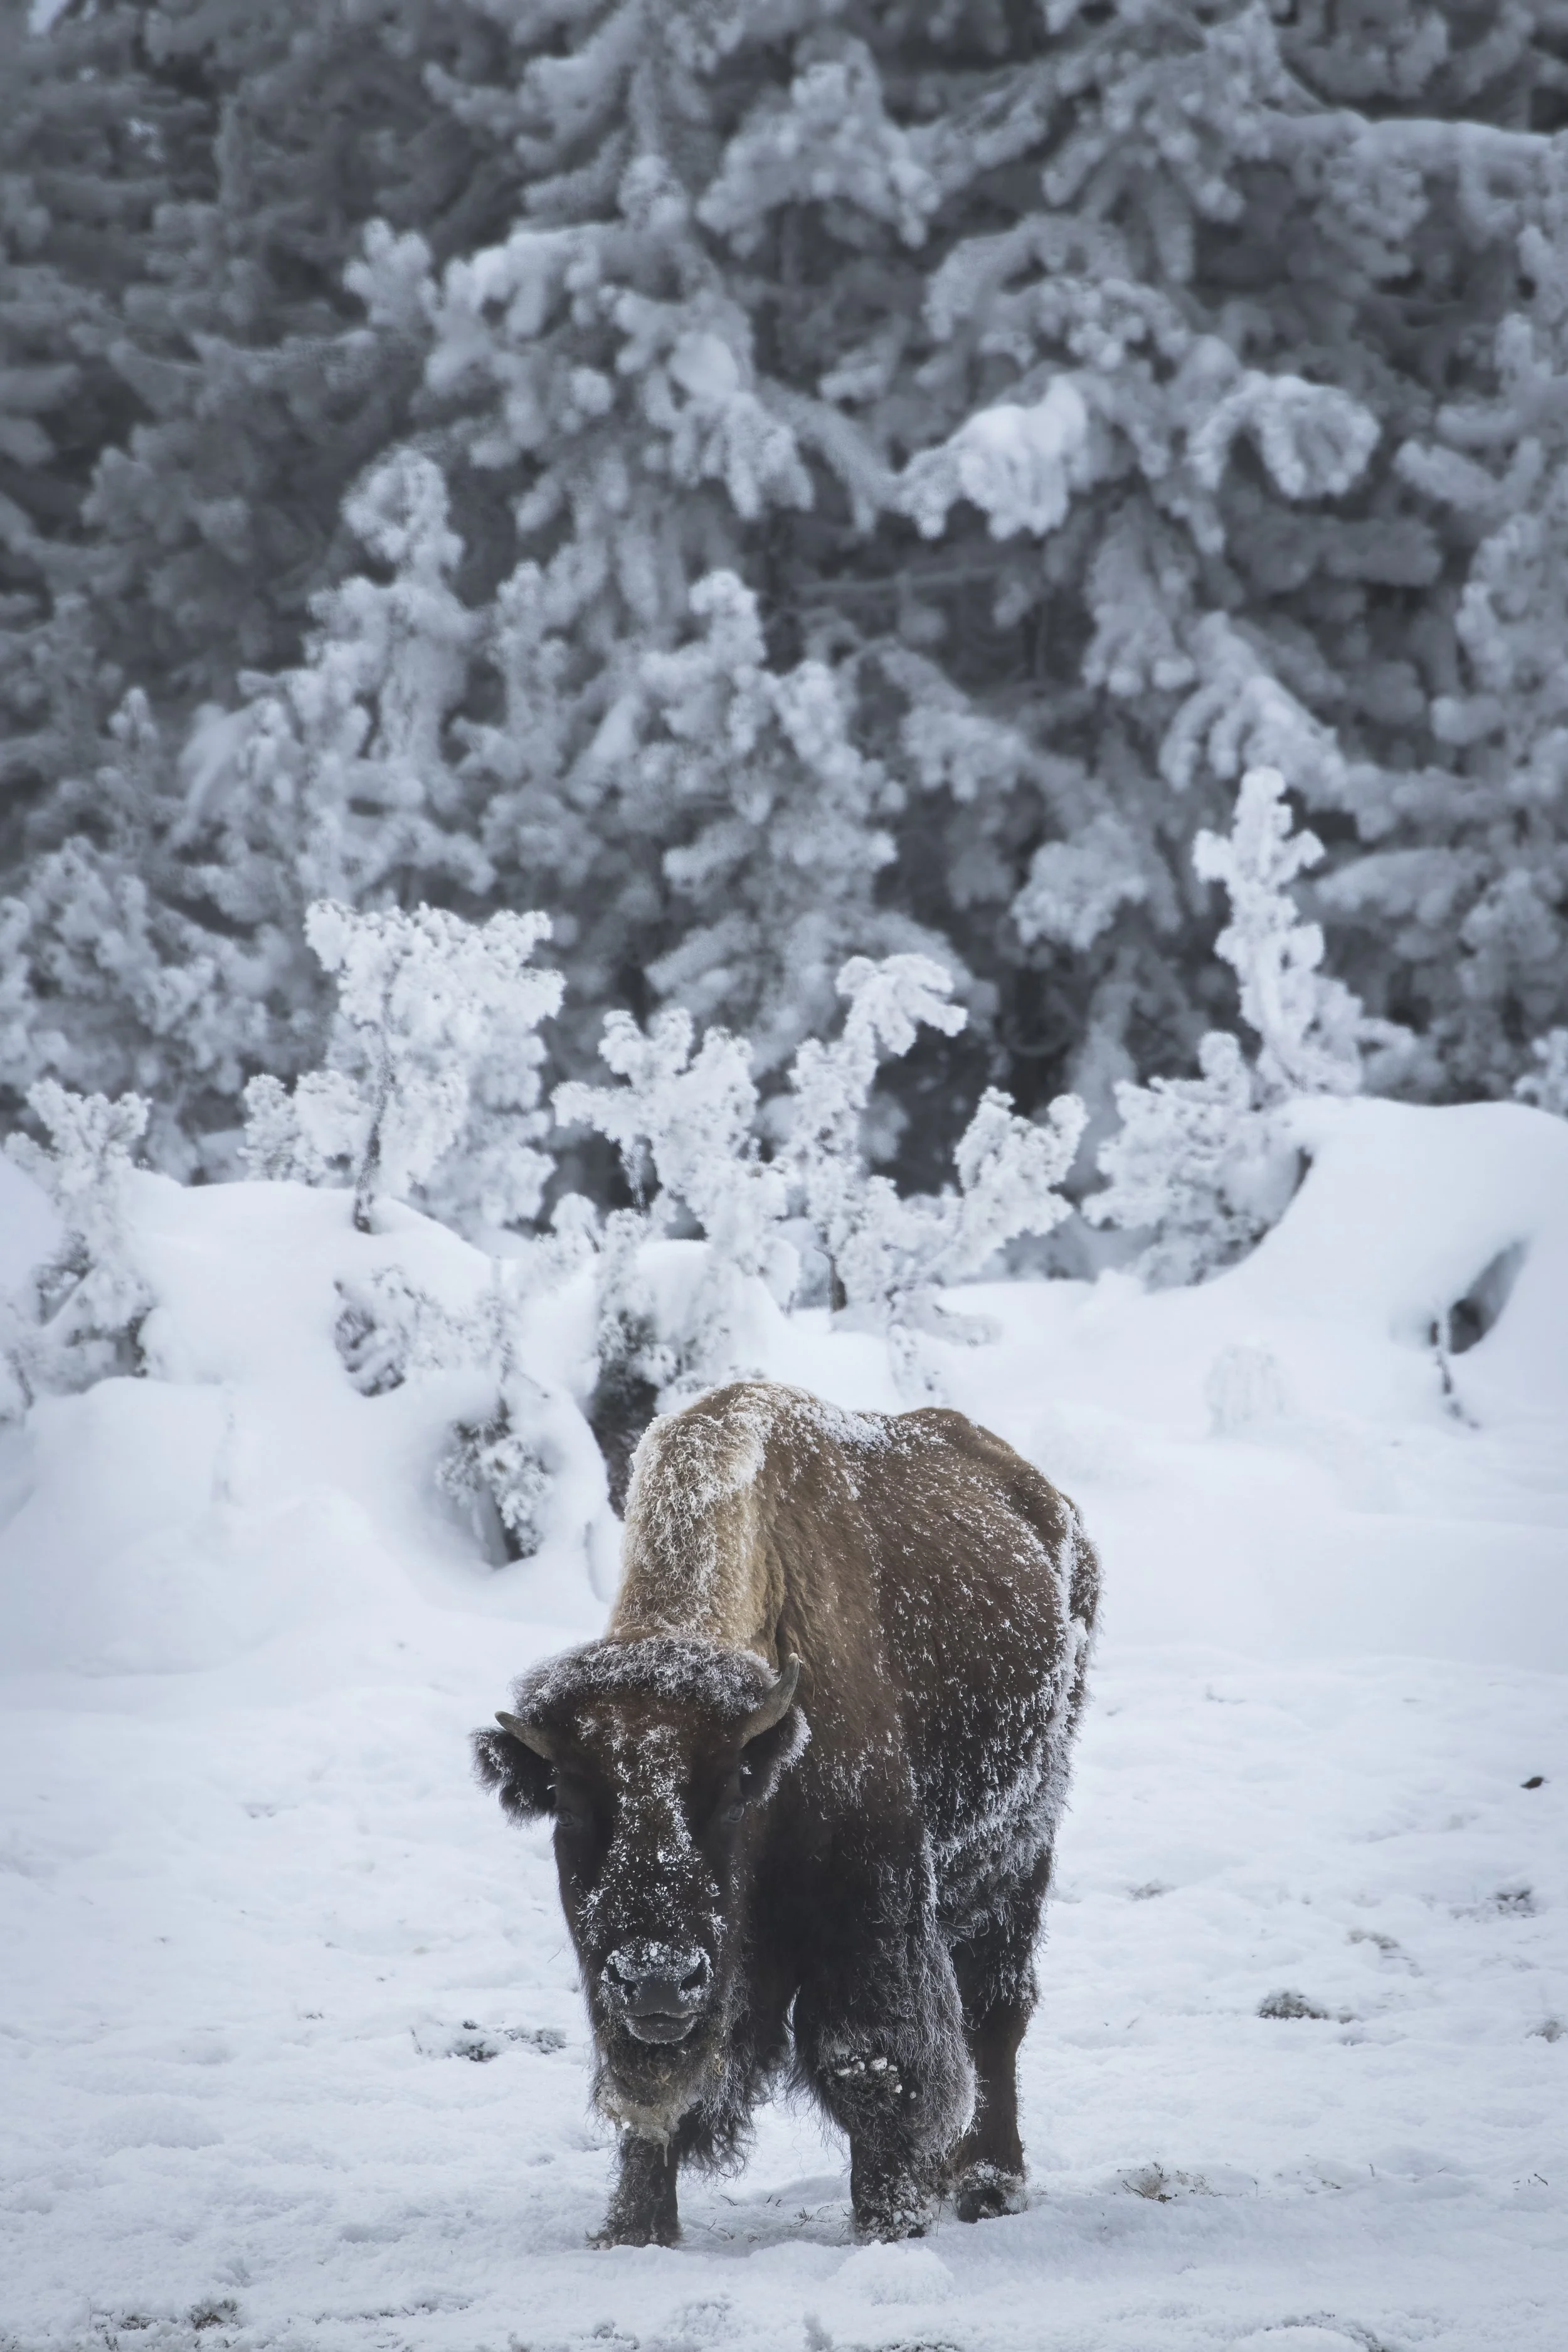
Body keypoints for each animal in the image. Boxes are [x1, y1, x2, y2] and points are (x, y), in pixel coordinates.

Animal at [473, 1378, 1099, 2245]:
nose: (657, 1979)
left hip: (1019, 1840)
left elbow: (870, 2065)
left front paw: (888, 2225)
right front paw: (633, 2231)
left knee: (994, 2011)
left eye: (729, 1790)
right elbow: (655, 2096)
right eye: (568, 1803)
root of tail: (1046, 1504)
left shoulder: (866, 1909)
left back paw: (986, 2184)